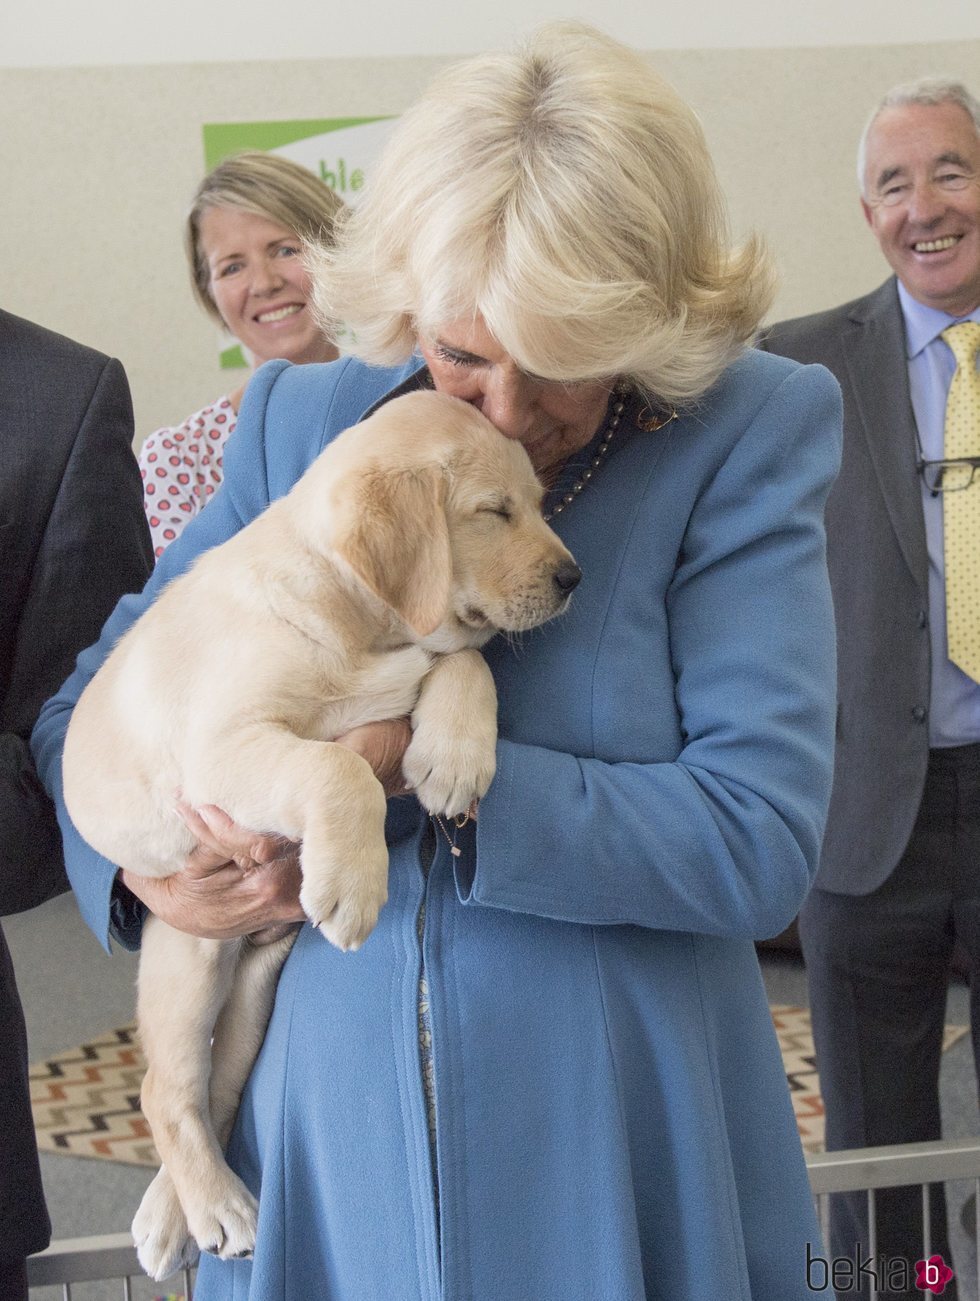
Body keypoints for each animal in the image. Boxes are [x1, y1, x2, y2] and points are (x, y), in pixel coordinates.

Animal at [59, 387, 580, 1280]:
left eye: (541, 503)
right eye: (495, 511)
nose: (575, 577)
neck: (362, 623)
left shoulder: (410, 666)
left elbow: (465, 661)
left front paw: (454, 754)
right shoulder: (224, 748)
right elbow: (336, 768)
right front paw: (355, 882)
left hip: (255, 977)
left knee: (215, 1083)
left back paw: (178, 1212)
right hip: (188, 949)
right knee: (165, 1088)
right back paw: (217, 1206)